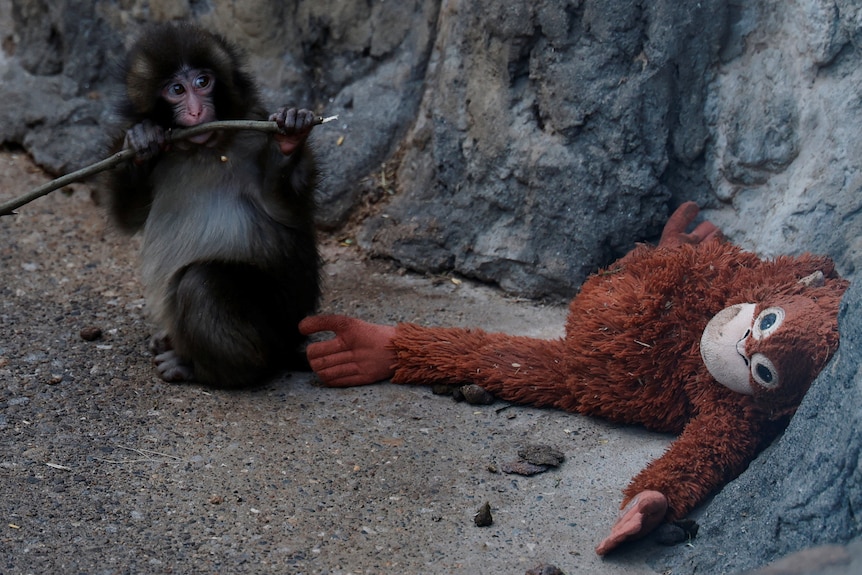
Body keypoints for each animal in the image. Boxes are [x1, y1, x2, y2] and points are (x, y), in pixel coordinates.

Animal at [106, 22, 321, 388]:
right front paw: (141, 138)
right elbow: (129, 217)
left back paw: (209, 369)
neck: (202, 149)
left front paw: (289, 139)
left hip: (277, 323)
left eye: (203, 82)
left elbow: (286, 210)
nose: (196, 111)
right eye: (177, 89)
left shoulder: (253, 134)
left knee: (202, 281)